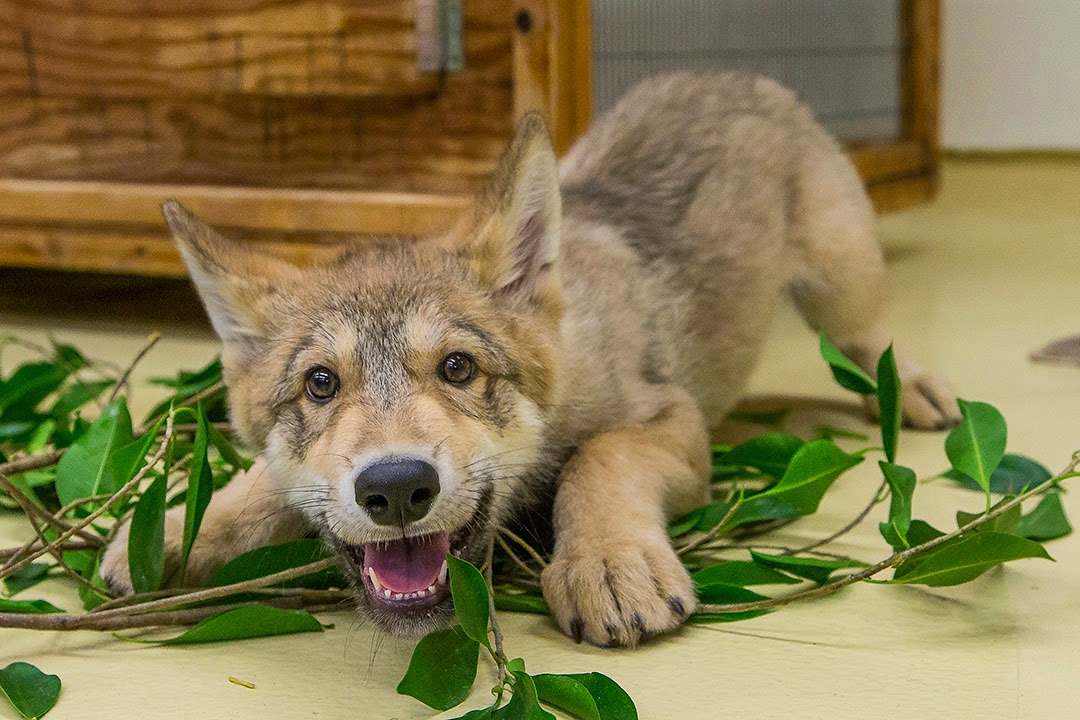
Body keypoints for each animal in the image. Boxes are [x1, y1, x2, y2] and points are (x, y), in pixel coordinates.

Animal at [102, 72, 960, 647]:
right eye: (320, 384)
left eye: (458, 369)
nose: (397, 488)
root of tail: (734, 74)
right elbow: (260, 489)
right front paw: (173, 529)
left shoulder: (669, 419)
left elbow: (599, 461)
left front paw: (609, 560)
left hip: (842, 281)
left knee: (872, 339)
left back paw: (914, 389)